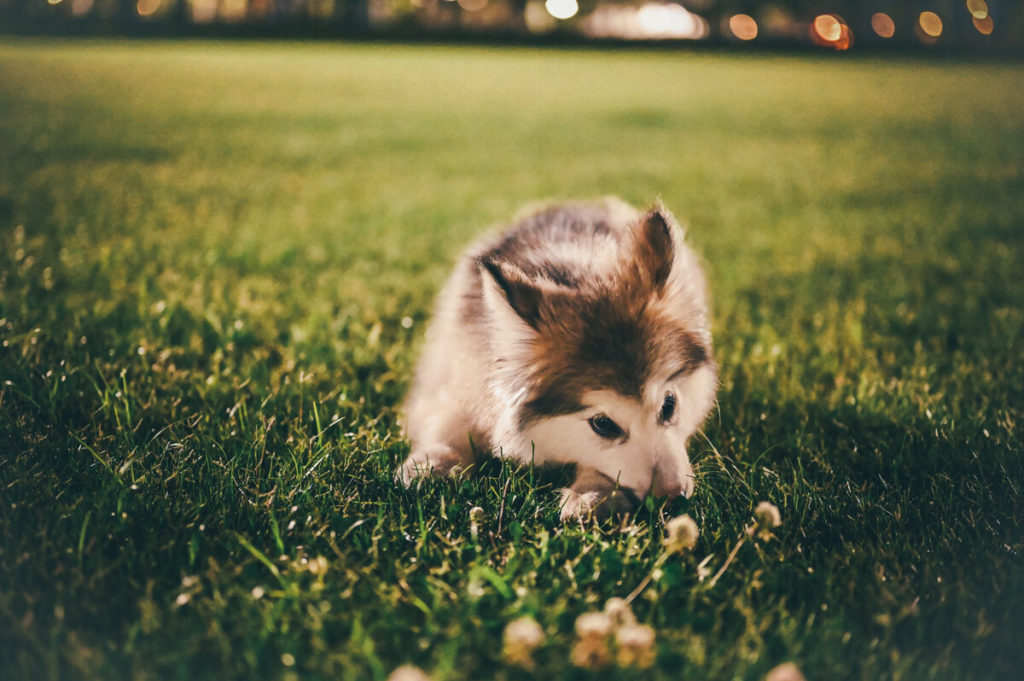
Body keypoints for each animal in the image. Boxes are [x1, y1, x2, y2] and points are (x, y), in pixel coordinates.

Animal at [395, 199, 716, 518]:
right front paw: (433, 463)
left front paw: (591, 491)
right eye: (603, 424)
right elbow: (448, 419)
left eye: (669, 404)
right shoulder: (451, 371)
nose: (674, 499)